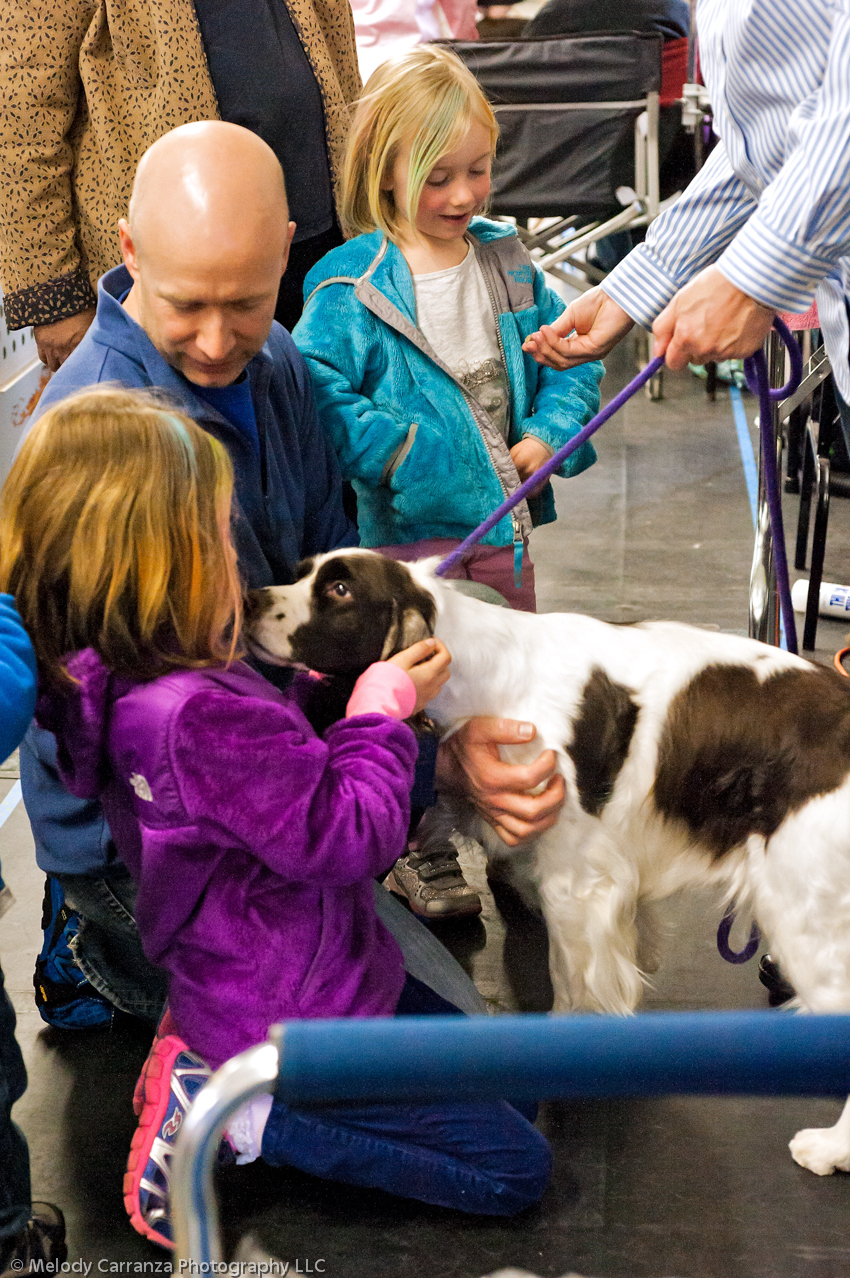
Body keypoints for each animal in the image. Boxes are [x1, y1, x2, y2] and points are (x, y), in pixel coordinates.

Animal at [245, 544, 850, 1170]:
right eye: (300, 571)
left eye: (339, 590)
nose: (251, 599)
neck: (484, 671)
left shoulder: (575, 883)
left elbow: (568, 979)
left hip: (804, 912)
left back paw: (829, 1147)